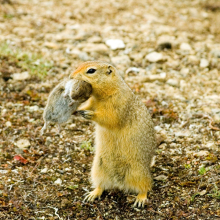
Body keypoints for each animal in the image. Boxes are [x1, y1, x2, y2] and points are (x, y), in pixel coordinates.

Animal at [69, 61, 156, 207]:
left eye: (91, 70)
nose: (71, 76)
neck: (102, 96)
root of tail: (119, 183)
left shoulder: (118, 104)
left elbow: (109, 118)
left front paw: (89, 114)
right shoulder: (92, 101)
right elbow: (88, 106)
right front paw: (78, 110)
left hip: (138, 172)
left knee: (146, 186)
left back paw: (140, 199)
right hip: (98, 169)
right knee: (101, 185)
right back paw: (92, 194)